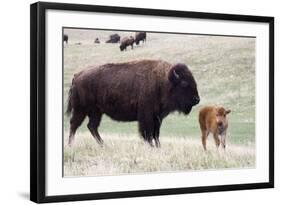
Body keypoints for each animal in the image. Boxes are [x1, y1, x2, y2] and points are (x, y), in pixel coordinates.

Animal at [66, 59, 199, 147]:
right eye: (184, 83)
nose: (197, 99)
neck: (163, 81)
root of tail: (77, 75)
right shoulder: (147, 116)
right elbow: (148, 133)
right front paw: (151, 146)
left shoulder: (157, 117)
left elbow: (156, 134)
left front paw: (158, 146)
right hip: (81, 109)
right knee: (74, 124)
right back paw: (71, 145)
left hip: (96, 112)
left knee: (91, 126)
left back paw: (103, 144)